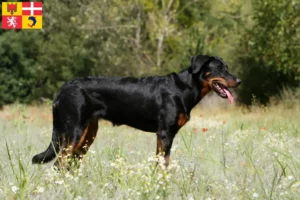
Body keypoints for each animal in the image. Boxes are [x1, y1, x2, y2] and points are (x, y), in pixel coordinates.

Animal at [31, 54, 241, 169]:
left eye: (227, 68)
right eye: (220, 68)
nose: (239, 81)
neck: (185, 88)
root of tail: (63, 89)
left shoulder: (163, 135)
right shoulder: (165, 133)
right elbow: (164, 163)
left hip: (87, 135)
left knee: (71, 163)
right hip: (74, 132)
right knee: (59, 164)